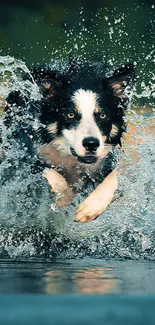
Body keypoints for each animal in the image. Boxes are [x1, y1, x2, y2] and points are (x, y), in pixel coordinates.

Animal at [2, 58, 134, 221]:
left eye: (102, 115)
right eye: (70, 114)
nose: (91, 144)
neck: (71, 159)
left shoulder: (105, 161)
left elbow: (114, 178)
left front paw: (90, 208)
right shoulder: (24, 158)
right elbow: (54, 176)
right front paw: (64, 199)